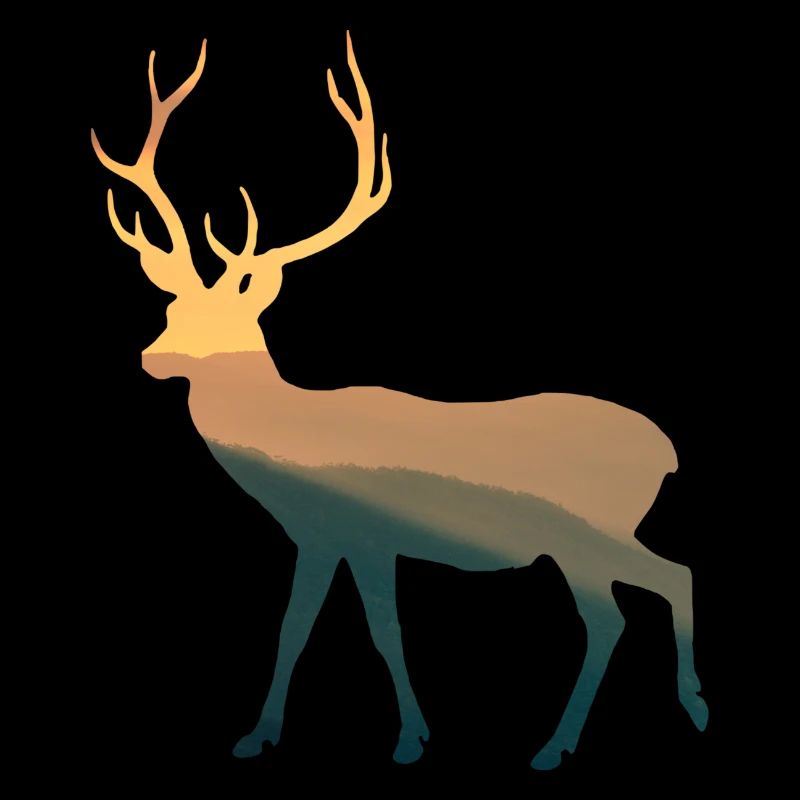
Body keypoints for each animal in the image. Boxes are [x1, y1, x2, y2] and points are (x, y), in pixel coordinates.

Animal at [91, 33, 708, 769]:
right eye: (171, 307)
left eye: (229, 322)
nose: (149, 358)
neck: (296, 441)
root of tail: (667, 452)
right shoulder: (321, 534)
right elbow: (295, 625)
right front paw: (257, 734)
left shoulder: (369, 531)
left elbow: (384, 628)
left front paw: (411, 739)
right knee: (624, 603)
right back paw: (576, 738)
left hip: (593, 528)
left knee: (659, 582)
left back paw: (656, 717)